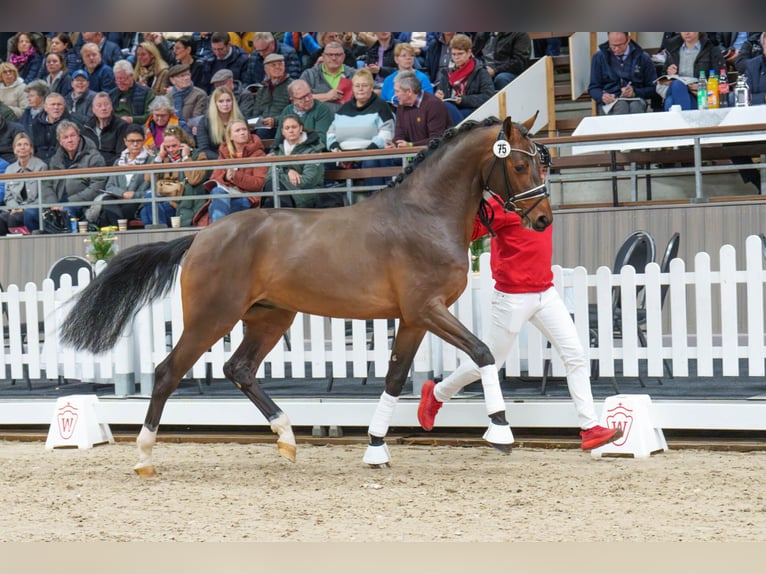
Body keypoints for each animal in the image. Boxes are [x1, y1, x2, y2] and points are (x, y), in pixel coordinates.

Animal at [60, 113, 552, 476]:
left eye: (541, 161)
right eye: (520, 165)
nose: (543, 218)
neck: (424, 215)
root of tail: (202, 236)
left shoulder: (413, 318)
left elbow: (395, 379)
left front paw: (376, 449)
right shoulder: (427, 309)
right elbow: (483, 351)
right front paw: (501, 432)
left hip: (269, 317)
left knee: (238, 368)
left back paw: (287, 438)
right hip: (211, 317)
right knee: (168, 372)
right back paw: (145, 456)